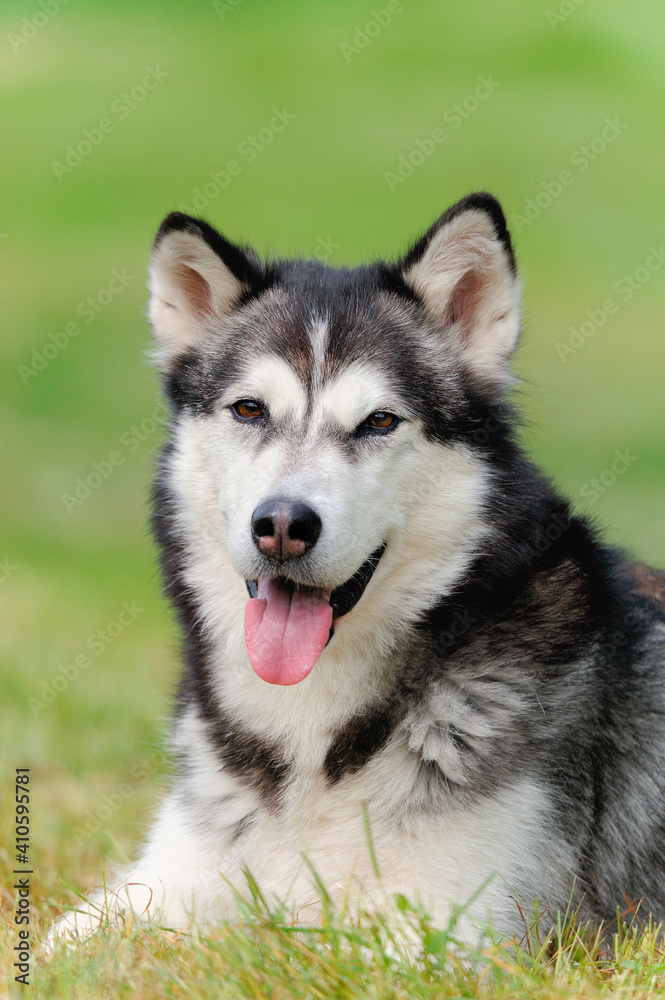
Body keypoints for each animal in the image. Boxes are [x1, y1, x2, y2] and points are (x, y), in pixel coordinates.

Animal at [52, 193, 664, 944]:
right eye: (249, 409)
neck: (312, 721)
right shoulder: (168, 876)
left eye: (378, 422)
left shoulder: (456, 923)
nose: (283, 526)